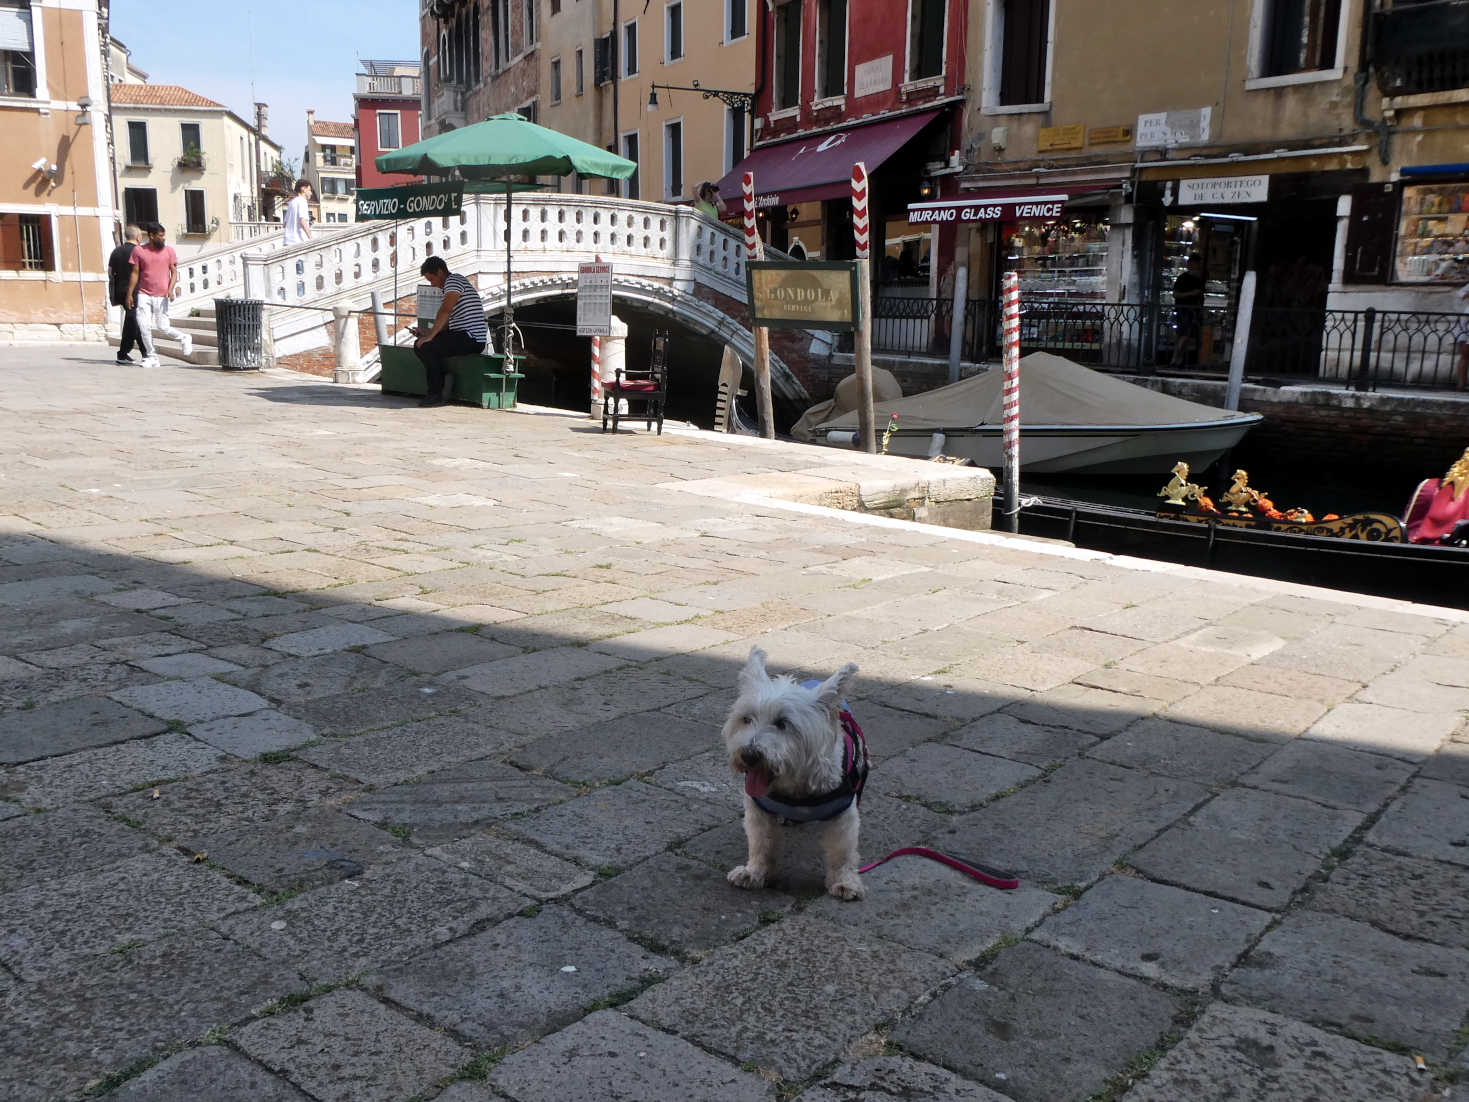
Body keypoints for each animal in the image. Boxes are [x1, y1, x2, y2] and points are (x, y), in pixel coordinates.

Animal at [719, 652, 863, 899]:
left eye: (782, 723)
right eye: (746, 719)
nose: (748, 755)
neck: (795, 788)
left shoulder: (843, 815)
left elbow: (842, 851)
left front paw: (845, 882)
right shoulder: (758, 809)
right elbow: (760, 844)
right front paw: (753, 873)